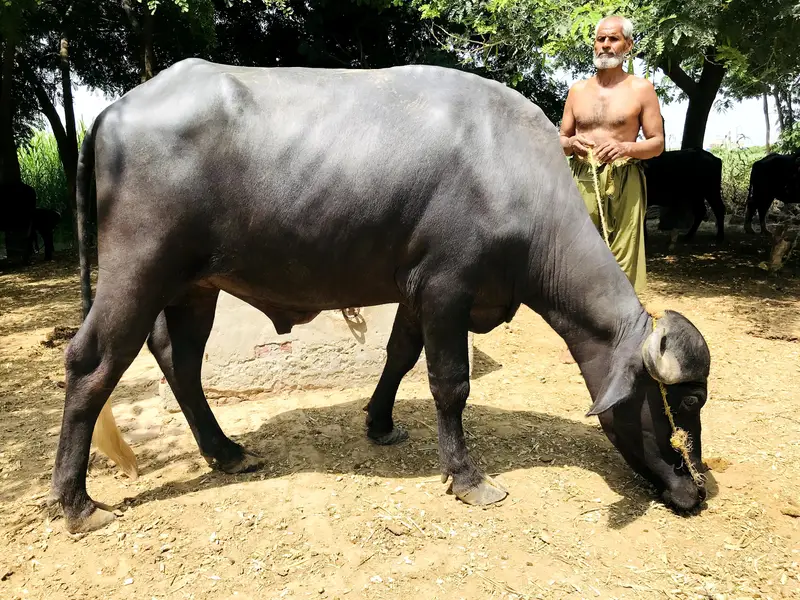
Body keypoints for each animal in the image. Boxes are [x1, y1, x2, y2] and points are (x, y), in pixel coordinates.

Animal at [51, 59, 712, 534]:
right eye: (684, 403)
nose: (696, 490)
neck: (511, 172)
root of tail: (116, 109)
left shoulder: (416, 288)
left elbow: (399, 355)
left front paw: (380, 422)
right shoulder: (447, 285)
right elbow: (450, 384)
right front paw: (467, 477)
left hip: (195, 286)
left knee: (179, 359)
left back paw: (226, 452)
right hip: (138, 269)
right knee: (93, 361)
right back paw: (76, 501)